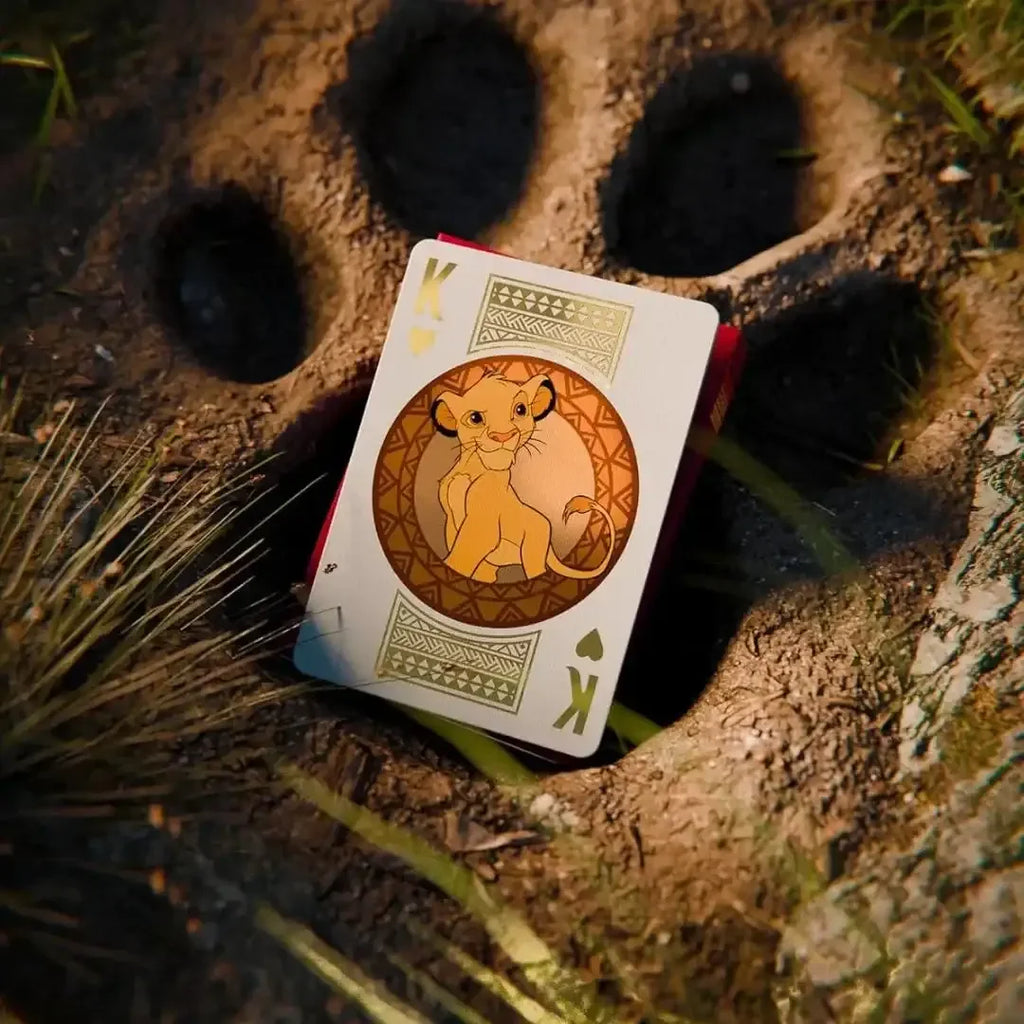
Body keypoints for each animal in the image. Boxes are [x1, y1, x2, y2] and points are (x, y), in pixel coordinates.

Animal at [429, 370, 616, 584]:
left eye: (520, 409)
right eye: (475, 418)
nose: (503, 435)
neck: (473, 469)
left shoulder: (484, 523)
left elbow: (462, 556)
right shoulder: (452, 523)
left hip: (532, 551)